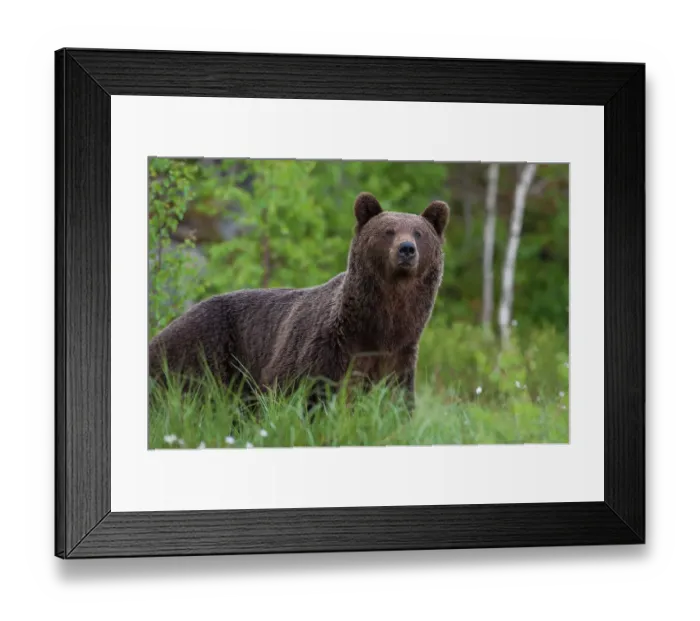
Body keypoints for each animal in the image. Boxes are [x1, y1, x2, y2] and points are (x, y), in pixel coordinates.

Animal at [148, 192, 449, 410]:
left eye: (419, 233)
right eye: (388, 230)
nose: (407, 249)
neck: (378, 327)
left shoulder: (398, 356)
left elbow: (395, 401)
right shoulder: (322, 348)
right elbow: (294, 391)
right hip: (204, 350)